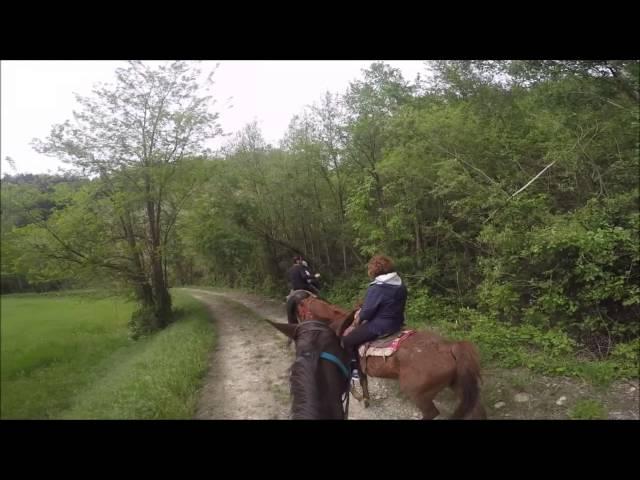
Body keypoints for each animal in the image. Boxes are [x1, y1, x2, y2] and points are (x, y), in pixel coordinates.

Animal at [282, 288, 488, 420]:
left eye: (301, 306)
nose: (298, 325)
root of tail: (449, 347)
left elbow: (352, 385)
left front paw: (359, 398)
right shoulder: (359, 368)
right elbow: (364, 382)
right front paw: (365, 400)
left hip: (418, 393)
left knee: (431, 413)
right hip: (458, 385)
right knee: (477, 410)